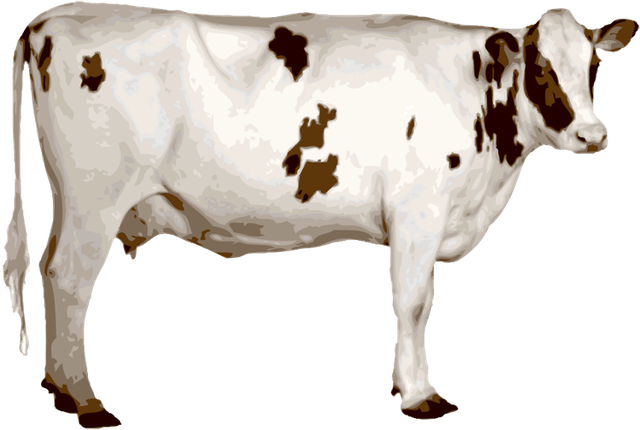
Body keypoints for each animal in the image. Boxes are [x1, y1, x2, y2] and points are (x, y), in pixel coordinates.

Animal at [3, 3, 637, 426]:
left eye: (593, 68)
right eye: (542, 69)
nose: (593, 135)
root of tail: (54, 18)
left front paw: (404, 384)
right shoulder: (418, 211)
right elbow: (414, 303)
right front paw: (420, 394)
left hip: (77, 201)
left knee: (50, 272)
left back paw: (58, 387)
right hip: (94, 198)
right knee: (68, 279)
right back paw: (84, 399)